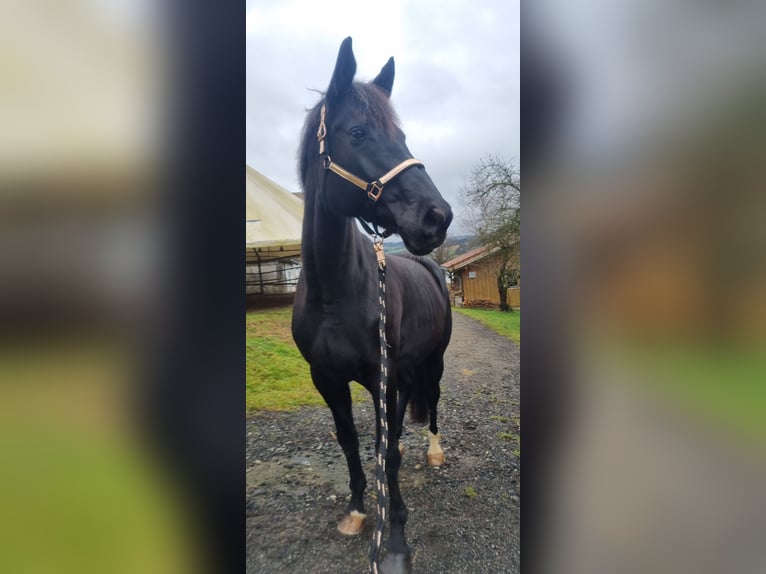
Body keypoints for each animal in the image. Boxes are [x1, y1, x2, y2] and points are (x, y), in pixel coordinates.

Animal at [292, 38, 452, 572]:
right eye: (358, 132)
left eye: (401, 135)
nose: (437, 217)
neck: (334, 291)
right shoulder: (328, 379)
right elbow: (352, 443)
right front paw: (359, 509)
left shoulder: (379, 375)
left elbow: (388, 453)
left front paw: (396, 537)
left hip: (433, 360)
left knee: (431, 403)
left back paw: (435, 450)